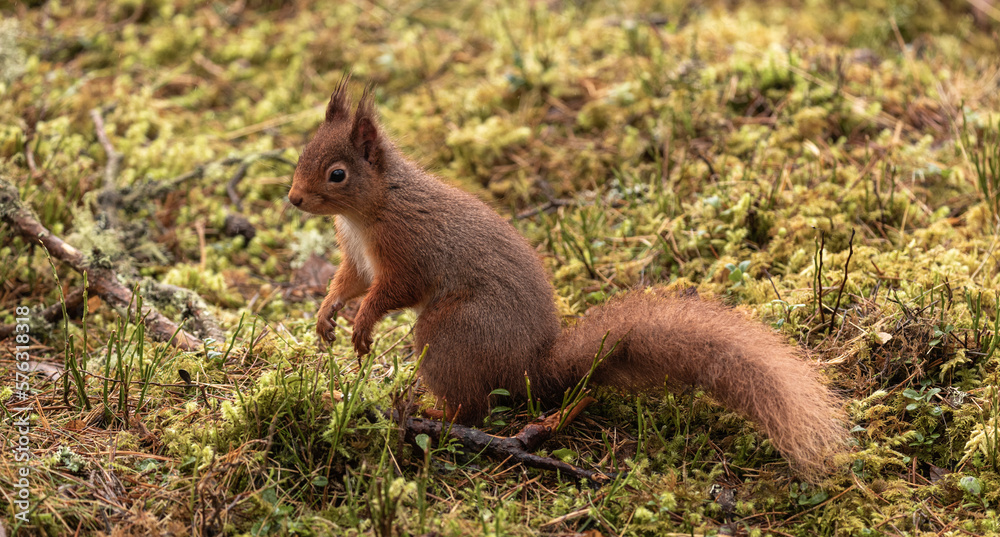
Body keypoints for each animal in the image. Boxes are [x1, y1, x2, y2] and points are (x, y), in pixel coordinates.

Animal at [288, 77, 844, 476]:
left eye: (337, 174)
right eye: (300, 155)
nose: (293, 199)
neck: (372, 208)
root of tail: (531, 369)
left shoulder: (409, 248)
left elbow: (390, 291)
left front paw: (362, 325)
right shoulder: (357, 257)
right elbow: (349, 283)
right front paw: (326, 317)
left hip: (450, 334)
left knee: (474, 408)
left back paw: (432, 413)